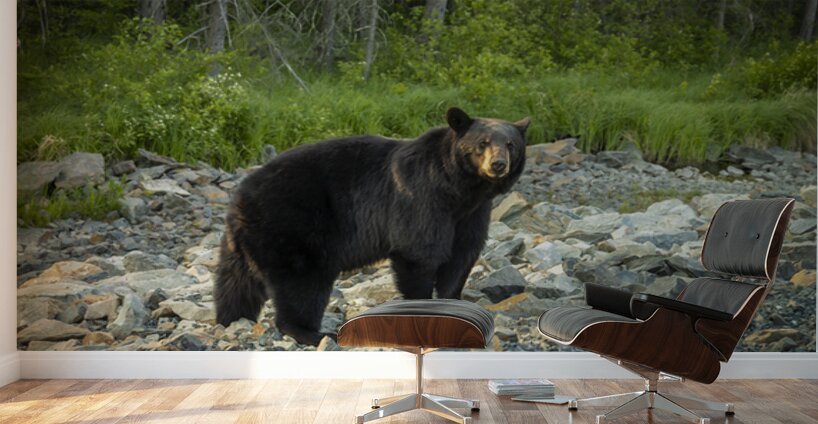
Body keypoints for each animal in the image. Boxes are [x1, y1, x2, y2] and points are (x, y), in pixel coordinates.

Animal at [214, 107, 530, 345]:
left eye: (511, 144)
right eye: (482, 143)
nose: (498, 164)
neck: (458, 190)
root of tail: (240, 198)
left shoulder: (472, 214)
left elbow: (461, 256)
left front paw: (454, 303)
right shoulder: (421, 200)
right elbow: (419, 252)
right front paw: (423, 310)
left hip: (243, 243)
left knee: (236, 285)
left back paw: (231, 319)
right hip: (292, 228)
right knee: (302, 284)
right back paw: (314, 332)